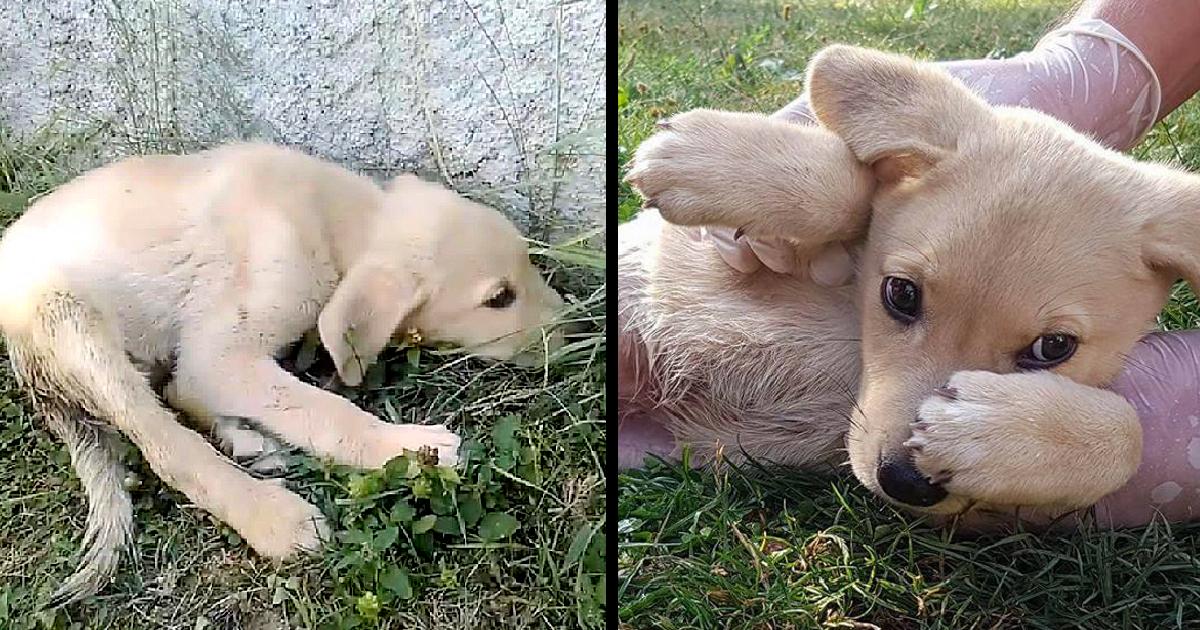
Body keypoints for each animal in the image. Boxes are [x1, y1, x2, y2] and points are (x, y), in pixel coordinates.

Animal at [0, 142, 566, 604]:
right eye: (499, 298)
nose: (577, 328)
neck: (331, 219)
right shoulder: (222, 352)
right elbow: (326, 410)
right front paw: (410, 447)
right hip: (73, 321)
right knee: (166, 443)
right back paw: (274, 516)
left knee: (175, 392)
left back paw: (248, 441)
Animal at [619, 44, 1200, 528]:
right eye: (901, 293)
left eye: (1053, 348)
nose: (905, 483)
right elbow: (851, 188)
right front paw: (702, 160)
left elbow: (1129, 434)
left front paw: (987, 429)